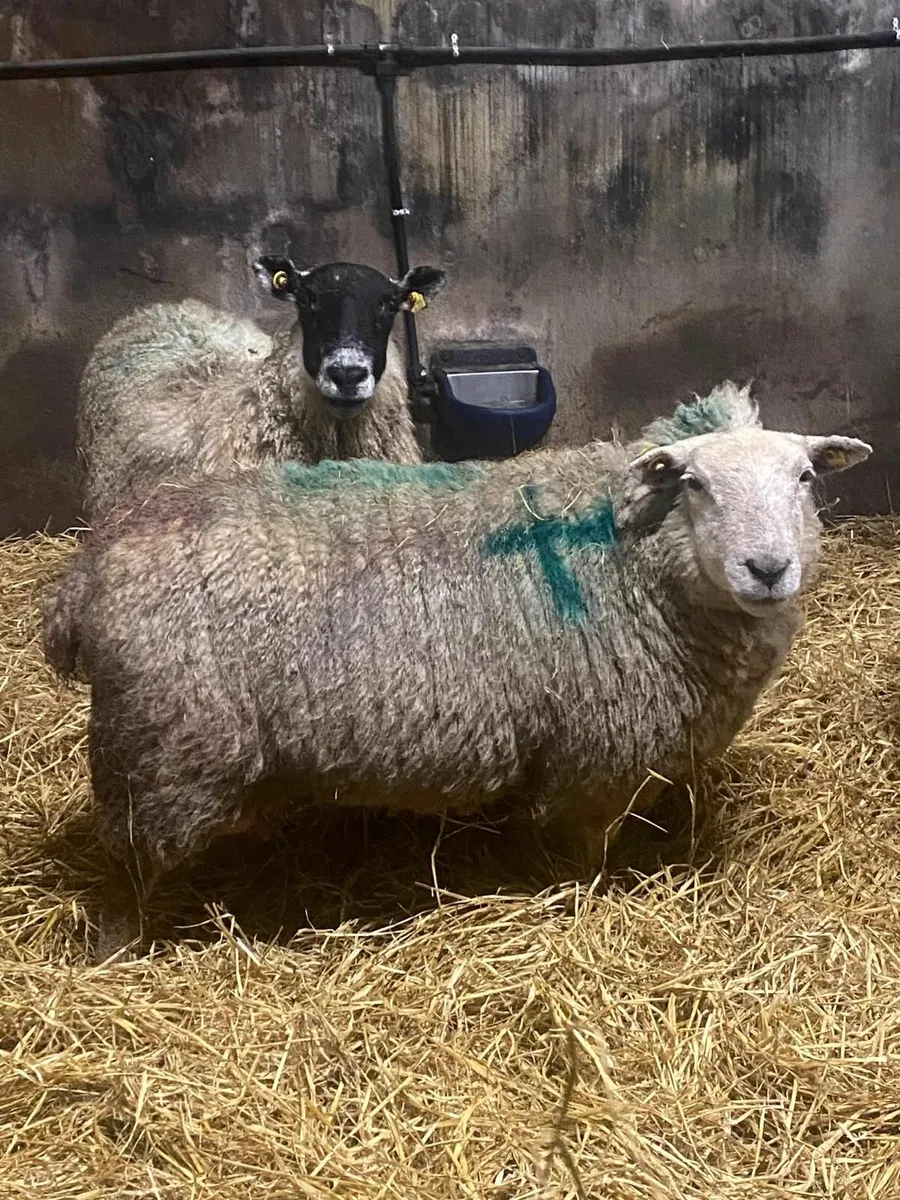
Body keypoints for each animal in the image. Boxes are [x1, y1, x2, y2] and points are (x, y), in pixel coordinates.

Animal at [43, 386, 871, 960]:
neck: (630, 558)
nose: (768, 568)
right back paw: (121, 952)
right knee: (125, 870)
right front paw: (586, 905)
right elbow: (587, 859)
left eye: (804, 476)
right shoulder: (593, 762)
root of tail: (82, 579)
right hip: (162, 755)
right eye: (695, 483)